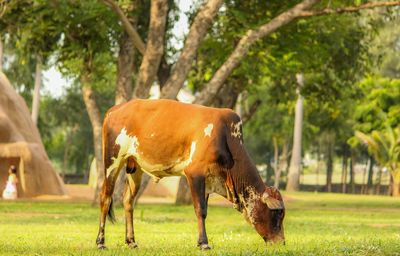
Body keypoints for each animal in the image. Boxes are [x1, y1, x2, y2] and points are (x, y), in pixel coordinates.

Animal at [95, 98, 286, 250]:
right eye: (277, 214)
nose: (281, 242)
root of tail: (115, 109)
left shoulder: (209, 180)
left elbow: (204, 209)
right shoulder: (195, 174)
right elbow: (200, 210)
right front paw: (204, 243)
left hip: (135, 168)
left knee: (128, 201)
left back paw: (131, 241)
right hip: (112, 161)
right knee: (105, 198)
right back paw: (101, 242)